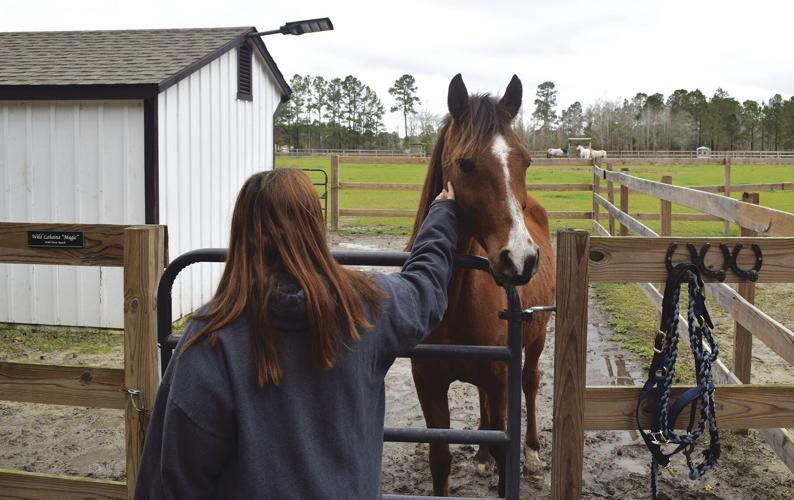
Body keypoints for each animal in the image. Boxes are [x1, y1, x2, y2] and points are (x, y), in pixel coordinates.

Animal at [407, 74, 555, 497]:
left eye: (526, 161)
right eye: (466, 162)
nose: (520, 258)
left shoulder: (502, 376)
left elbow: (508, 454)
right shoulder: (429, 383)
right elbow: (440, 460)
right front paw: (482, 455)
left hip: (535, 342)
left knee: (531, 383)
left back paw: (533, 455)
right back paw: (483, 454)